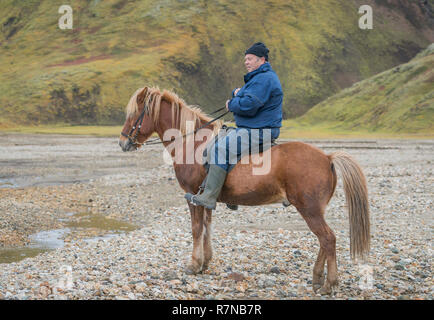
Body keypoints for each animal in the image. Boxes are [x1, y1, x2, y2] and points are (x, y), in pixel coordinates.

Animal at [118, 87, 370, 296]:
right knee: (324, 241)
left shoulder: (193, 197)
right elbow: (208, 227)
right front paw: (205, 262)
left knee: (327, 238)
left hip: (309, 209)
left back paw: (329, 284)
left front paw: (194, 264)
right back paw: (317, 279)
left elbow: (196, 229)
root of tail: (327, 157)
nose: (122, 142)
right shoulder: (206, 198)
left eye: (134, 113)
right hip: (315, 210)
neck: (193, 144)